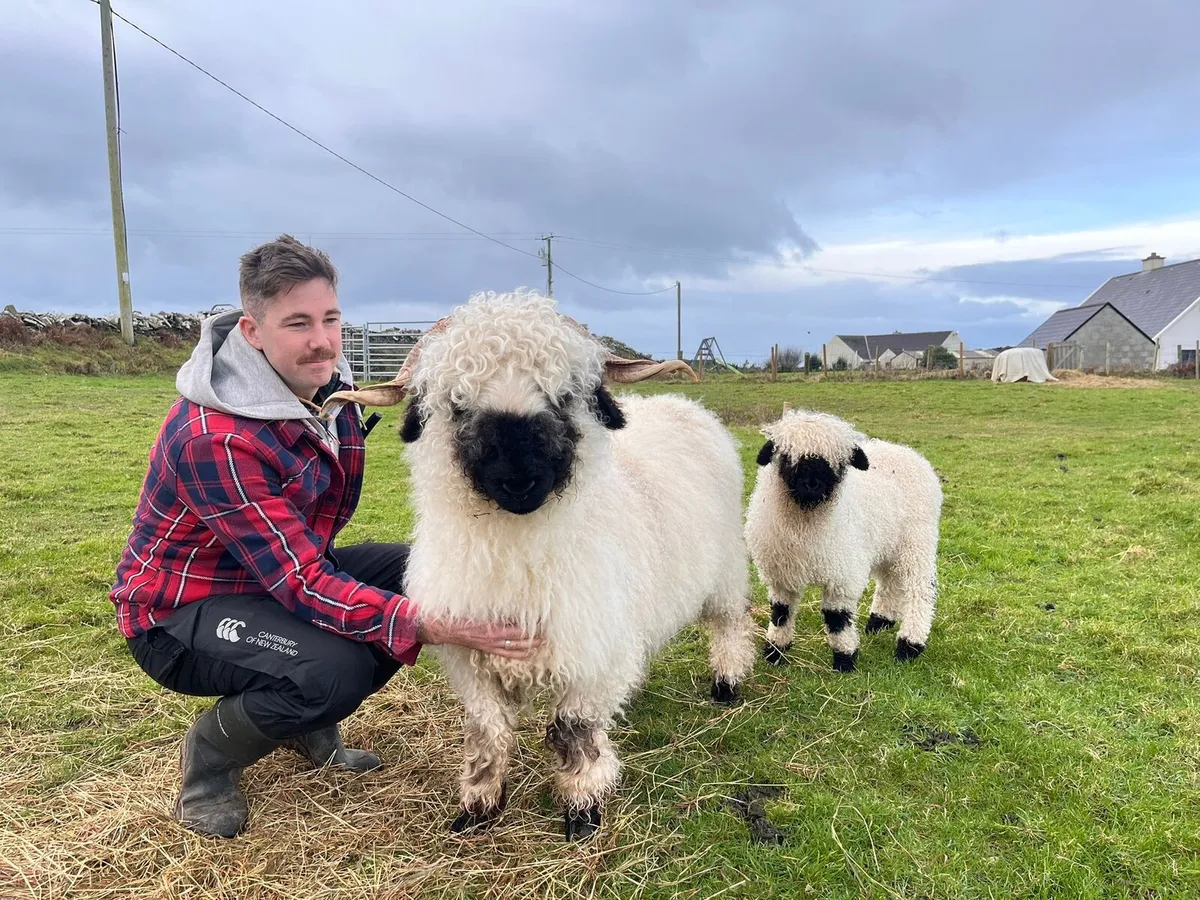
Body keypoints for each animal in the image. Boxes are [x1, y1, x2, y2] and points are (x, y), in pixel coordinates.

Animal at [321, 289, 755, 841]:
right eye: (458, 403)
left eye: (564, 395)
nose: (519, 480)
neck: (518, 552)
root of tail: (684, 406)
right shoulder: (472, 655)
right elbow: (486, 731)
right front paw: (477, 808)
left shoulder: (587, 651)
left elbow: (573, 730)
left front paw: (583, 809)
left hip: (725, 569)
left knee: (729, 622)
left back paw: (727, 683)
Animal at [743, 409, 942, 672]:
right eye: (786, 457)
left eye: (838, 462)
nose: (812, 485)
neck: (805, 524)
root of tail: (908, 452)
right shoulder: (782, 576)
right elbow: (780, 613)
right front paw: (775, 652)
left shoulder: (842, 577)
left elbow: (836, 618)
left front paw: (845, 660)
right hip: (888, 543)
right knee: (889, 581)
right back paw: (879, 622)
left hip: (917, 541)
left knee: (920, 588)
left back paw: (909, 645)